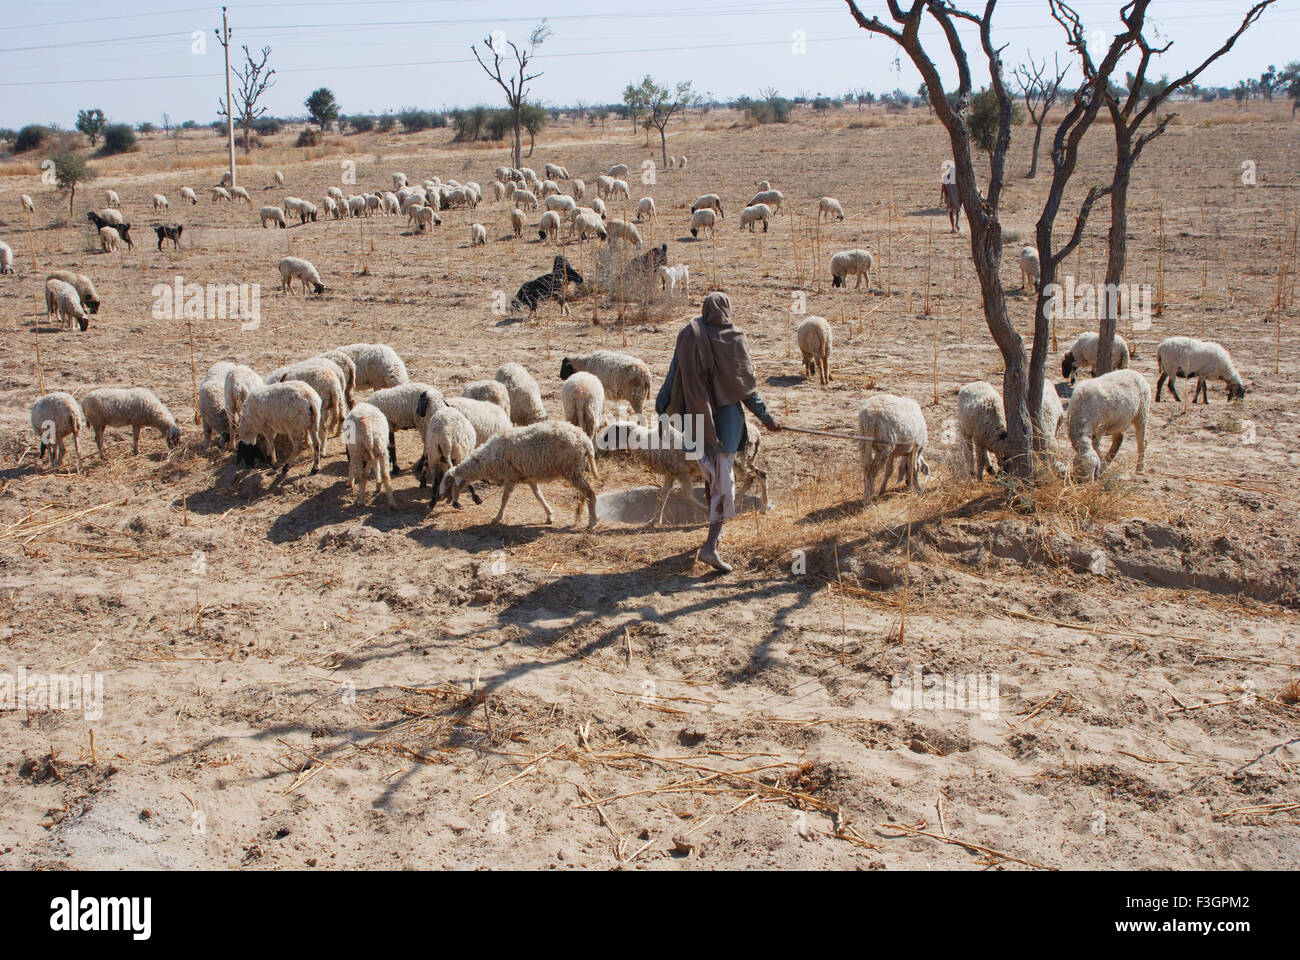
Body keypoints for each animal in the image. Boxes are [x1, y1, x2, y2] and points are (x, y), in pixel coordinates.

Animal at [436, 418, 598, 528]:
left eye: (448, 483)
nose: (441, 497)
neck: (487, 460)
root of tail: (586, 441)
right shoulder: (529, 477)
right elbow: (539, 496)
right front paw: (549, 515)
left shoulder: (510, 477)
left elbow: (504, 498)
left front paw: (498, 517)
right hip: (576, 471)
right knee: (585, 495)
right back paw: (580, 516)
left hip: (572, 470)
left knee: (590, 494)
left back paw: (592, 522)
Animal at [598, 416, 769, 528]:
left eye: (610, 434)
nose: (600, 446)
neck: (650, 443)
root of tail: (757, 432)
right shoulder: (671, 473)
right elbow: (662, 496)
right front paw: (653, 521)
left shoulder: (683, 472)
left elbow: (687, 496)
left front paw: (707, 512)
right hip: (743, 459)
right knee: (760, 474)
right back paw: (760, 506)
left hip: (738, 459)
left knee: (754, 477)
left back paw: (747, 503)